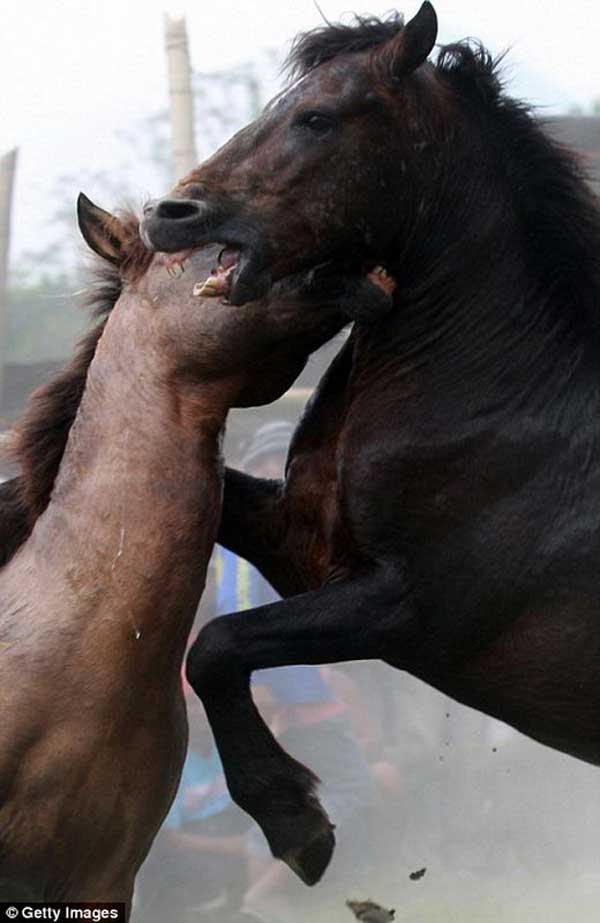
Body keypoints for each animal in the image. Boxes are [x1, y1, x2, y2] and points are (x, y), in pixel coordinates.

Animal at [139, 3, 600, 892]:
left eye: (318, 118)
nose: (168, 213)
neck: (499, 395)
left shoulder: (409, 608)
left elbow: (217, 645)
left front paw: (295, 821)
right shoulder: (304, 545)